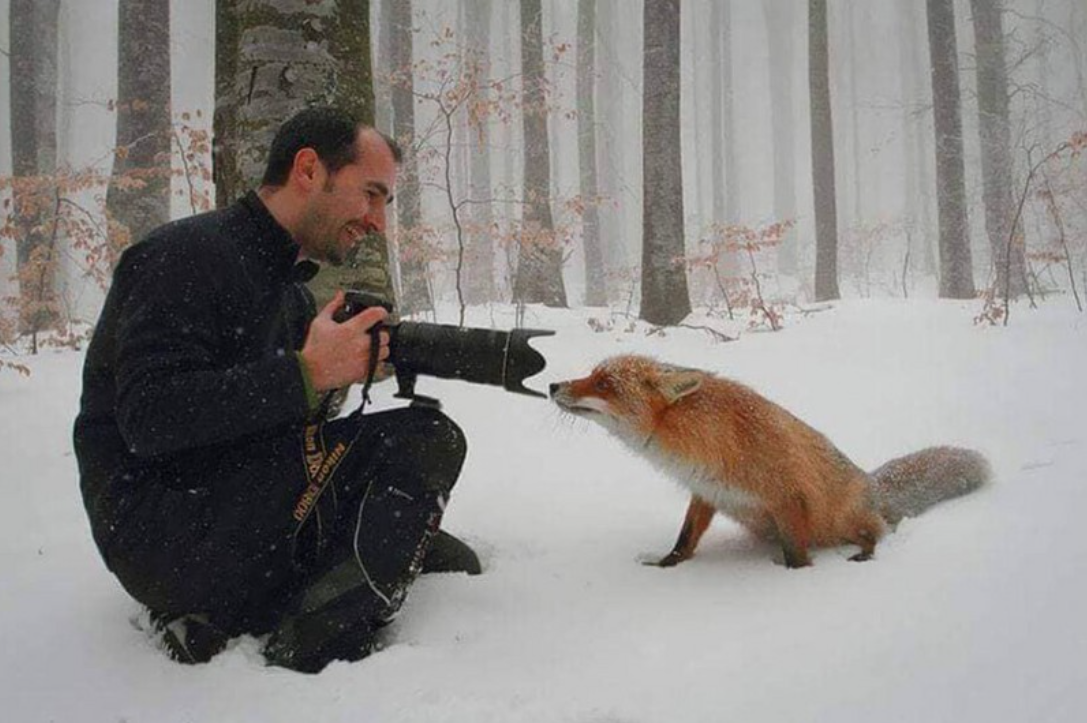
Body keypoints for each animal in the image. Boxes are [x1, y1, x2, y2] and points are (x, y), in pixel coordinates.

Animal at [547, 354, 991, 569]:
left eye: (604, 384)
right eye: (591, 374)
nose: (552, 385)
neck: (706, 438)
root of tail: (871, 483)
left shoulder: (788, 497)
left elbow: (796, 556)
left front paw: (795, 580)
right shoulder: (706, 491)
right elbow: (684, 539)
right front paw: (665, 566)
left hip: (843, 519)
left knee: (877, 532)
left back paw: (865, 554)